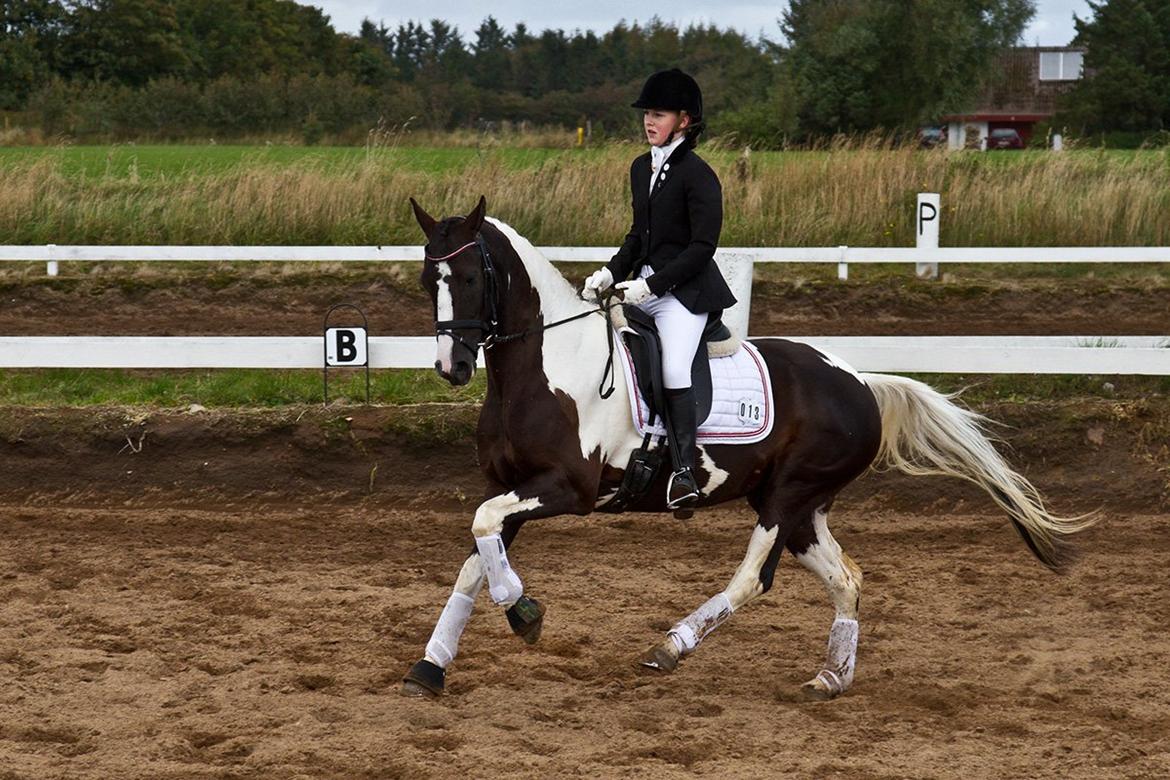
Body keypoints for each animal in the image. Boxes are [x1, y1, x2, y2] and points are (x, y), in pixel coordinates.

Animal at [400, 196, 1091, 700]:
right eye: (427, 279)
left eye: (470, 276)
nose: (450, 367)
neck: (546, 366)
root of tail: (860, 381)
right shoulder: (509, 488)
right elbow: (477, 555)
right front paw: (432, 666)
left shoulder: (565, 489)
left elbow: (482, 531)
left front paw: (524, 614)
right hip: (800, 506)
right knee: (845, 579)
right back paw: (831, 677)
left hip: (786, 498)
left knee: (754, 580)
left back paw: (670, 647)